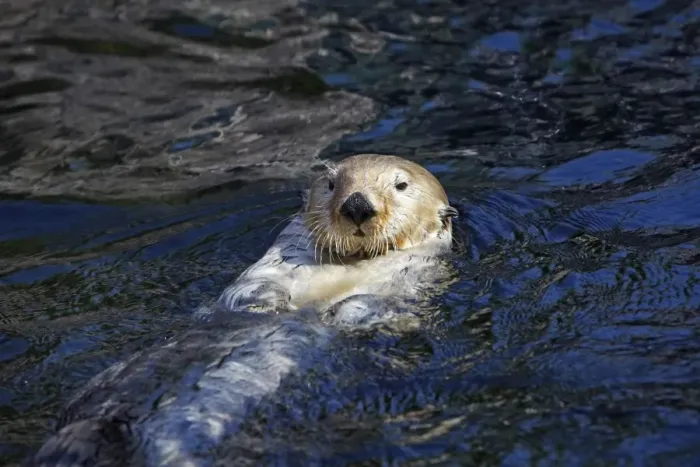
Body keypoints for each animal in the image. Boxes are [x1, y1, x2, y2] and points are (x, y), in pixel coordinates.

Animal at [29, 154, 459, 467]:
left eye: (400, 185)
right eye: (332, 184)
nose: (356, 205)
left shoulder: (410, 279)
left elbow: (373, 308)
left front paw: (338, 315)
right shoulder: (277, 259)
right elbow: (252, 287)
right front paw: (271, 306)